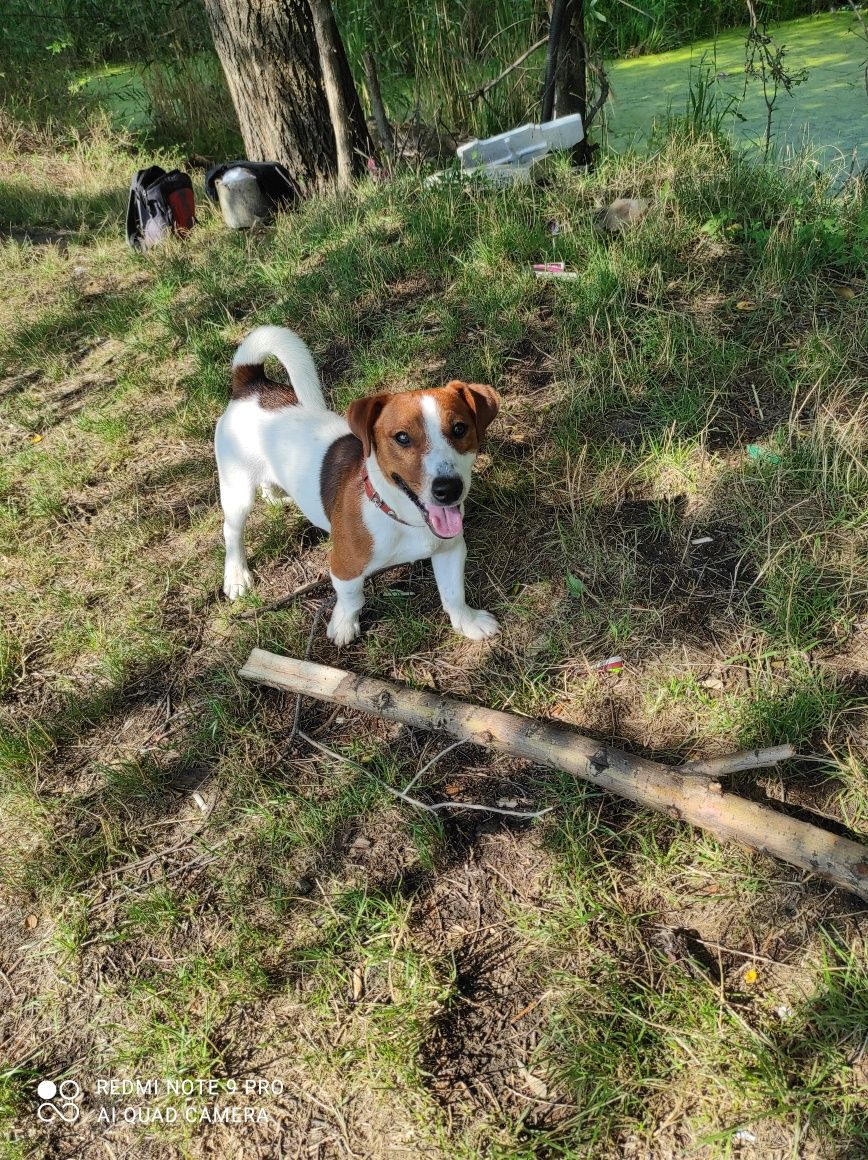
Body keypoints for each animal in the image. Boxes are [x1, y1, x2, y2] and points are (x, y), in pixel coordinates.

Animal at [215, 327, 501, 649]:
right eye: (402, 437)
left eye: (459, 429)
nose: (449, 489)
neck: (401, 517)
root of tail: (252, 385)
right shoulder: (343, 567)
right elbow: (352, 598)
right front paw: (343, 624)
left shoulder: (450, 550)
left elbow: (454, 594)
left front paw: (468, 622)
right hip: (237, 491)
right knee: (232, 530)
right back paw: (236, 575)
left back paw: (277, 498)